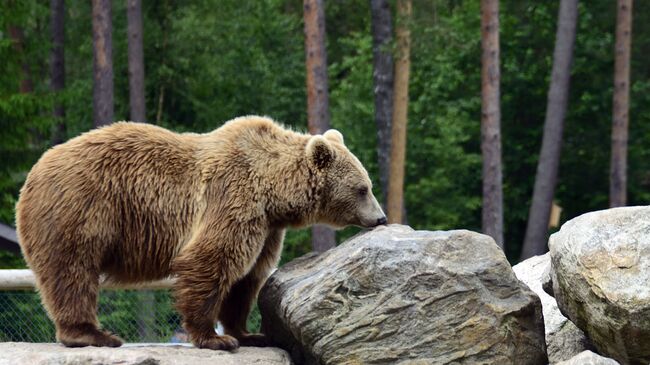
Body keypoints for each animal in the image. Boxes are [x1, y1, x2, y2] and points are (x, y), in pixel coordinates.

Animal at [15, 115, 384, 348]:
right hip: (80, 208)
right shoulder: (233, 196)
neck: (273, 191)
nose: (380, 218)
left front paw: (249, 333)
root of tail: (33, 173)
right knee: (72, 271)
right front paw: (216, 338)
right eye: (363, 188)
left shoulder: (267, 227)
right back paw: (94, 334)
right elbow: (212, 259)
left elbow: (248, 276)